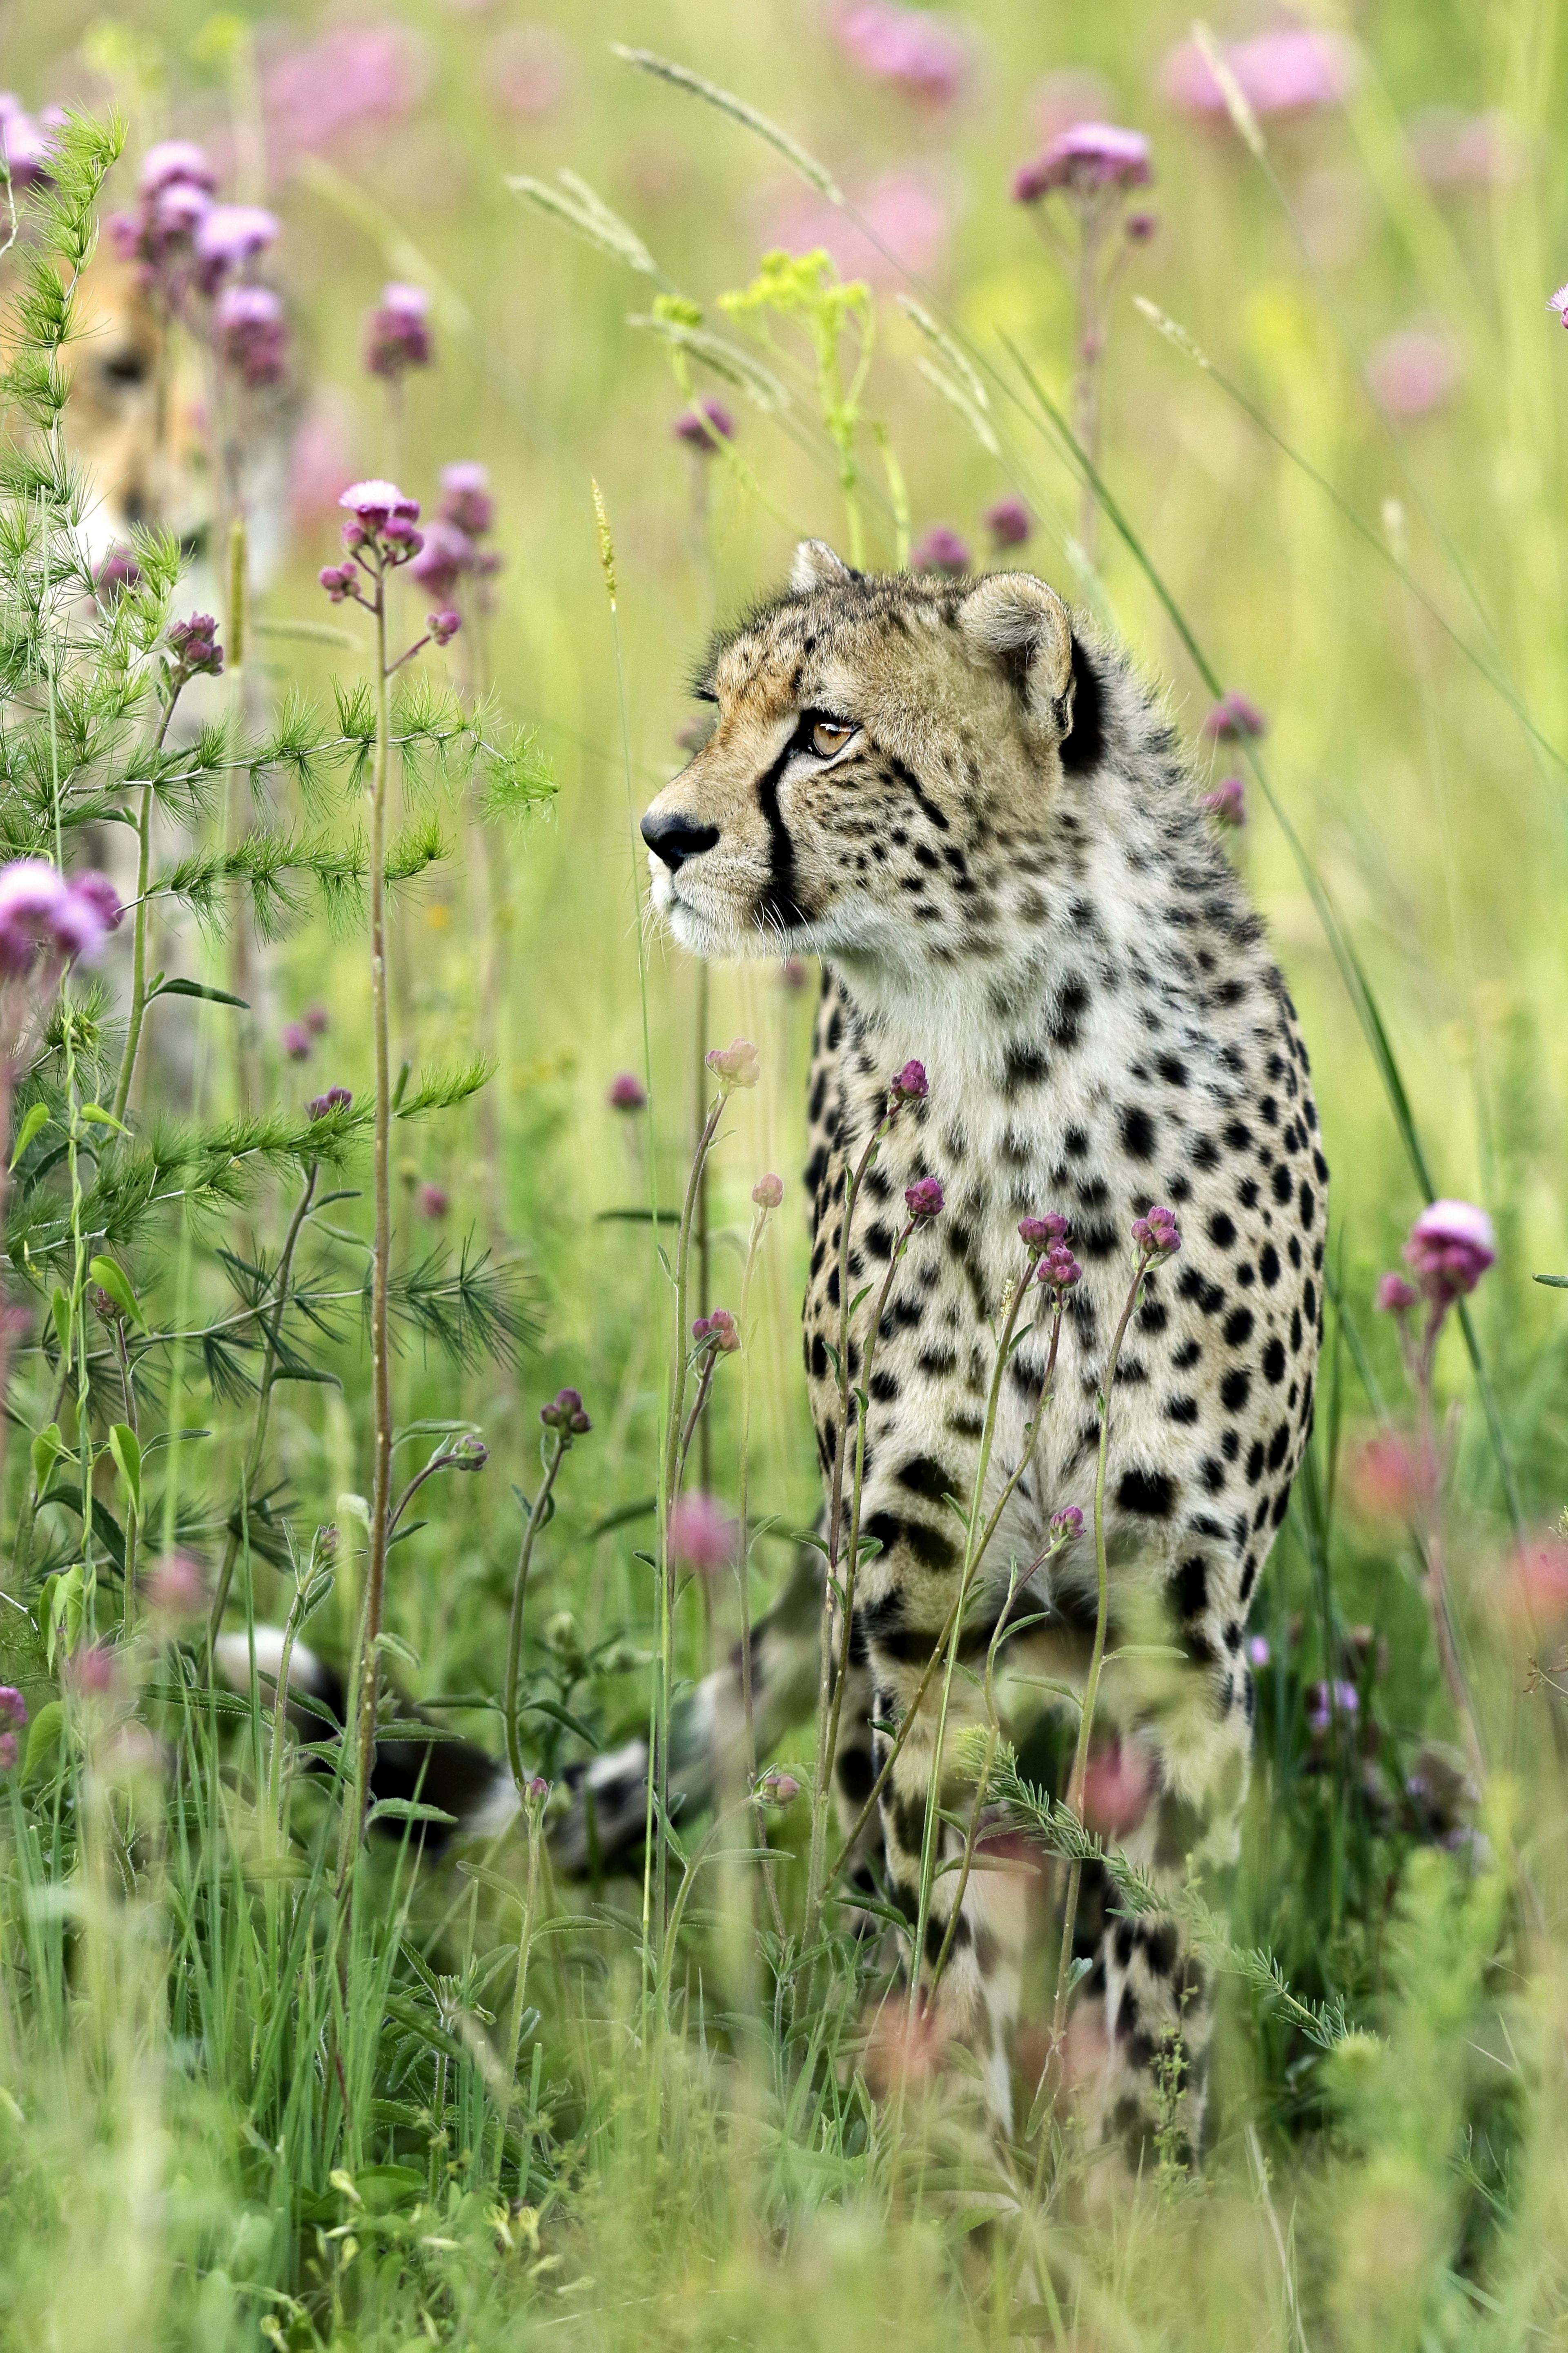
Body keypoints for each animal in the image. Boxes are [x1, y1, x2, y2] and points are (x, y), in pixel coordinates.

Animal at [630, 541, 1335, 2155]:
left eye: (826, 731)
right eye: (718, 710)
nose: (665, 831)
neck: (1015, 1062)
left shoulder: (1177, 1643)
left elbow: (1159, 1972)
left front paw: (1133, 2190)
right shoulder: (915, 1622)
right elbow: (941, 1940)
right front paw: (950, 2179)